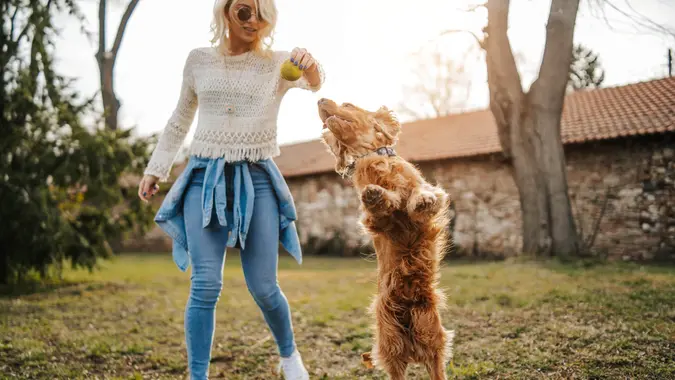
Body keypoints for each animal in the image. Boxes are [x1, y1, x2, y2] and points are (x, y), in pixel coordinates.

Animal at [316, 98, 454, 380]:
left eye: (348, 104)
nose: (320, 100)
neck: (375, 159)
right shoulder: (378, 224)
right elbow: (381, 208)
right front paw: (377, 195)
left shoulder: (429, 194)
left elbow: (419, 192)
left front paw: (420, 199)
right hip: (390, 340)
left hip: (431, 334)